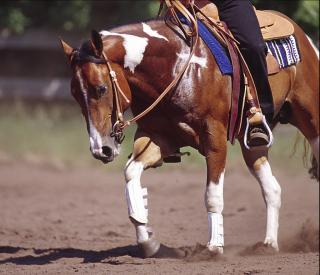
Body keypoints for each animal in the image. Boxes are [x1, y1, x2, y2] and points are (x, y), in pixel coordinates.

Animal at [61, 9, 318, 258]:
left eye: (101, 88)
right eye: (75, 94)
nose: (100, 149)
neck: (178, 67)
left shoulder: (215, 140)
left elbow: (212, 196)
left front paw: (213, 247)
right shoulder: (158, 137)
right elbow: (131, 173)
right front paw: (149, 242)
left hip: (311, 121)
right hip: (253, 142)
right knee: (272, 188)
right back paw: (269, 244)